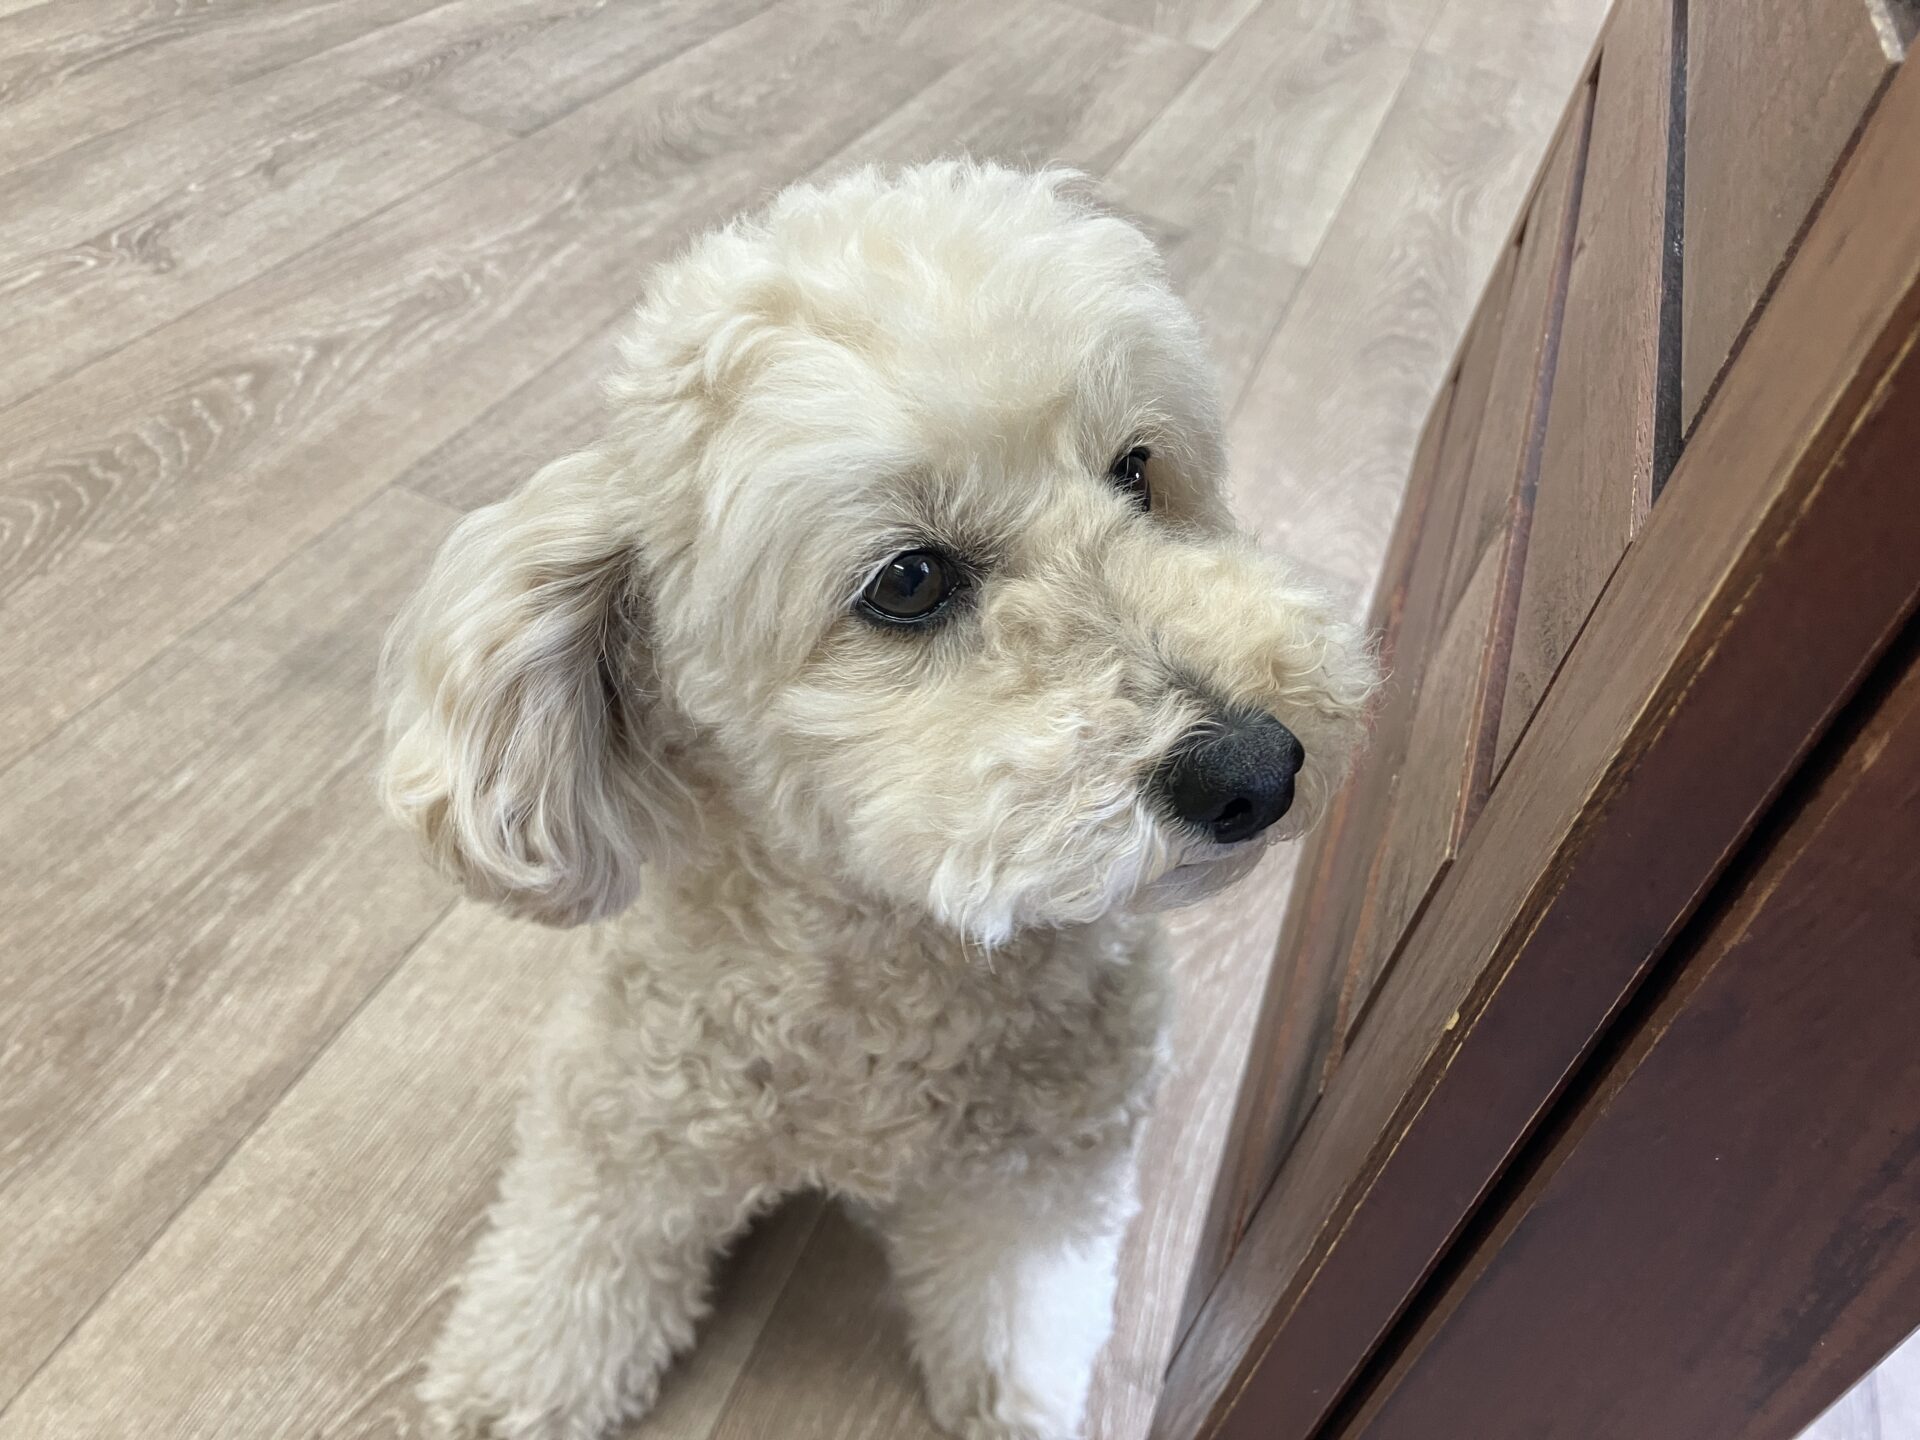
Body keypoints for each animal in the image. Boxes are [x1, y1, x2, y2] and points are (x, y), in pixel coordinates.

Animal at [380, 161, 1376, 1440]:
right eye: (908, 581)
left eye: (1136, 470)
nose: (1259, 768)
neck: (897, 963)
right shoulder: (625, 1122)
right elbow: (569, 1270)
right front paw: (508, 1384)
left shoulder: (1044, 1177)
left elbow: (1020, 1316)